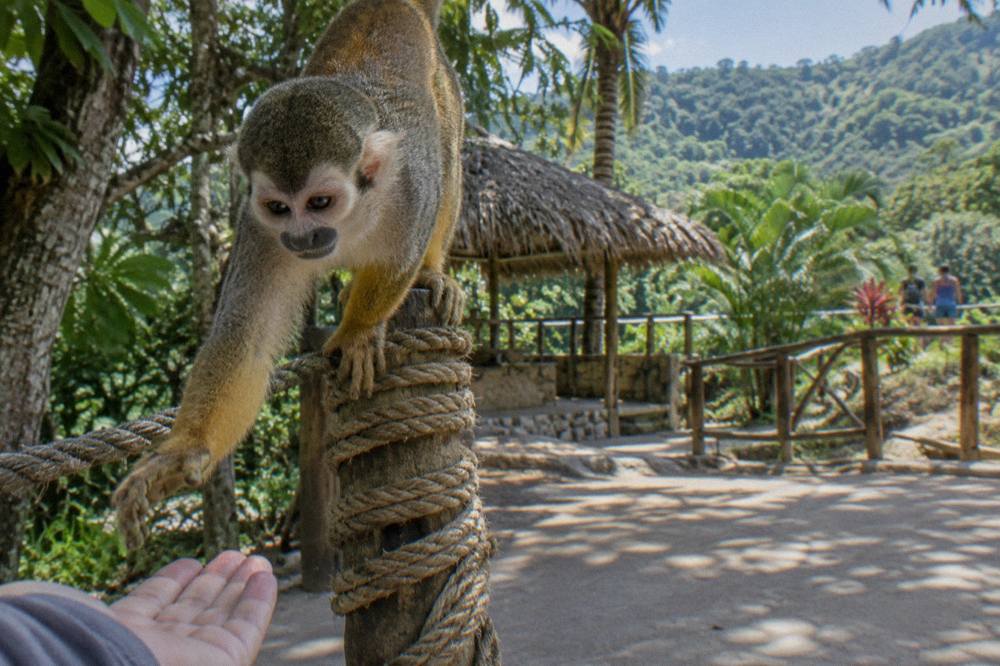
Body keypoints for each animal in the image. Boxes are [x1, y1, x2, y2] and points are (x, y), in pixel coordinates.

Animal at [112, 0, 465, 549]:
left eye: (319, 203)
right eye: (281, 208)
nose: (302, 238)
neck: (351, 218)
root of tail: (398, 5)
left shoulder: (409, 188)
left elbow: (397, 262)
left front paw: (359, 331)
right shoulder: (259, 230)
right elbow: (247, 337)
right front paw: (182, 452)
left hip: (446, 90)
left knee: (447, 153)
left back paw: (431, 275)